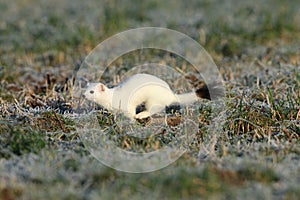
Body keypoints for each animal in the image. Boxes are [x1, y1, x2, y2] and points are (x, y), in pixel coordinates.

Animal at [82, 74, 211, 119]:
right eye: (85, 89)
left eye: (92, 91)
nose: (83, 95)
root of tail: (171, 94)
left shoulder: (126, 105)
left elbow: (131, 112)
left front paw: (133, 119)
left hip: (153, 99)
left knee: (154, 109)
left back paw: (141, 114)